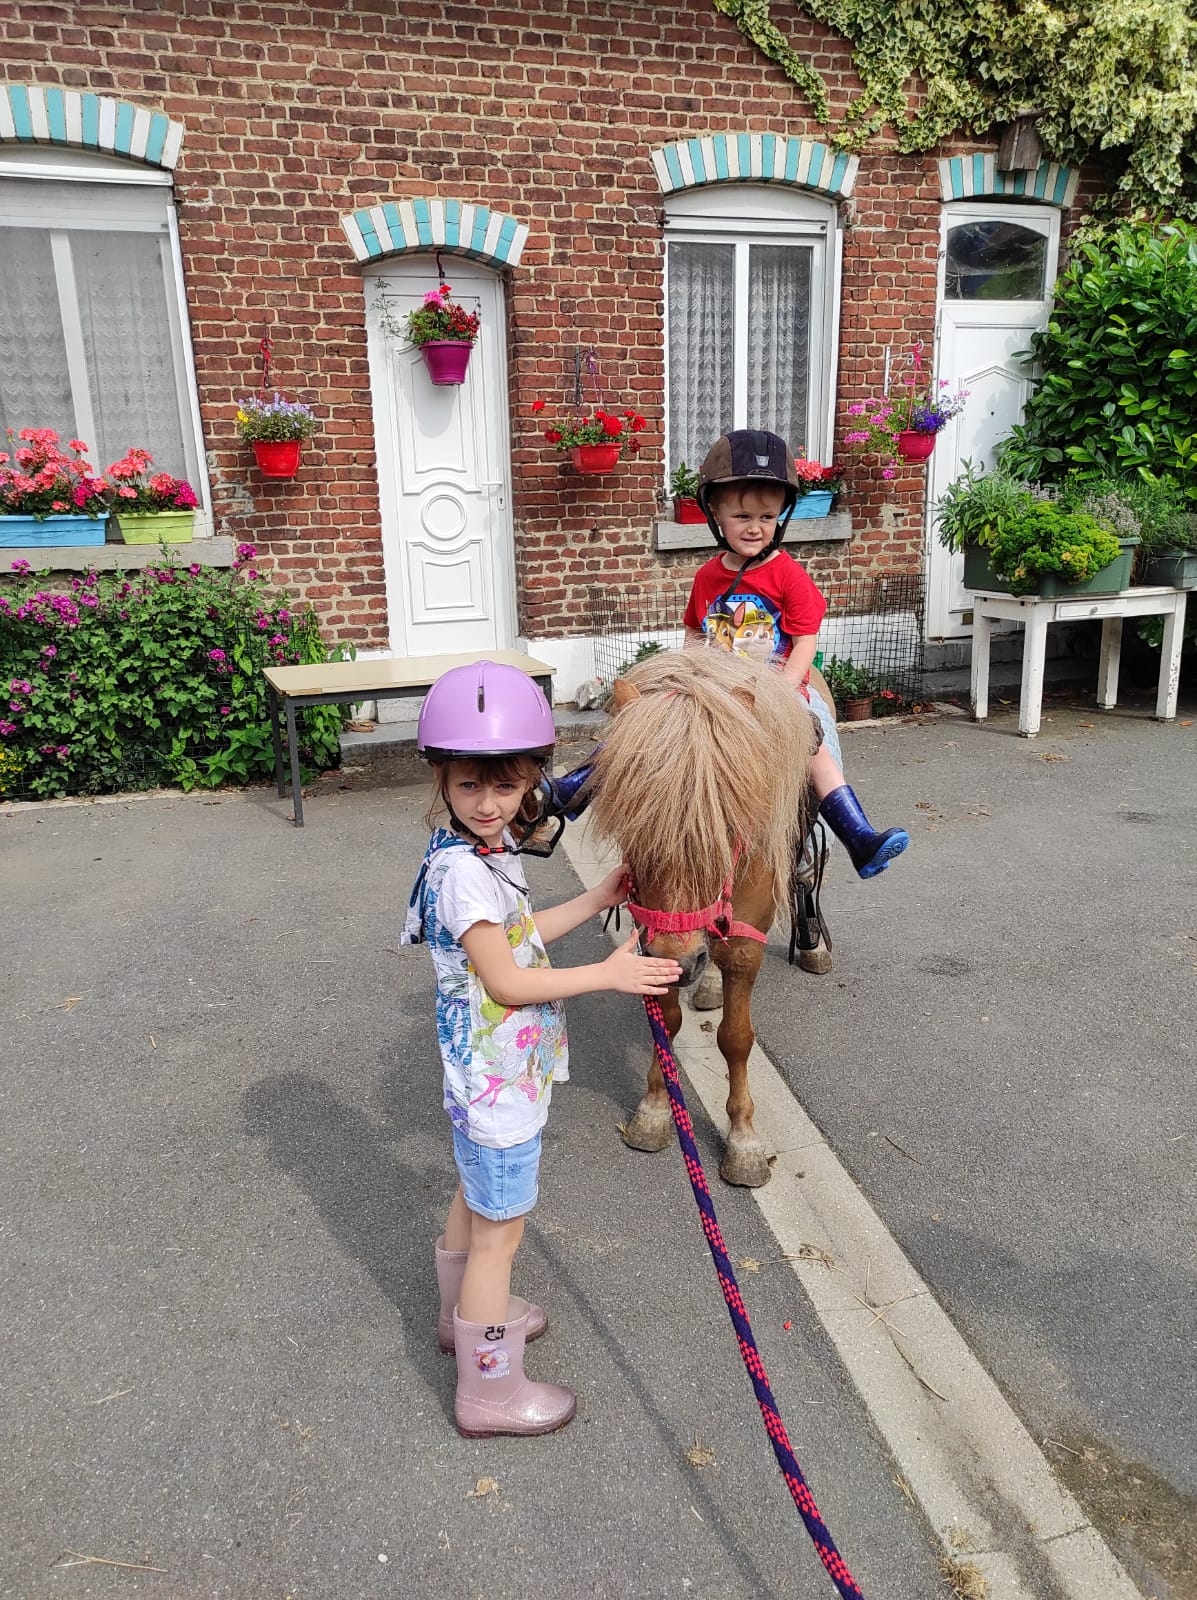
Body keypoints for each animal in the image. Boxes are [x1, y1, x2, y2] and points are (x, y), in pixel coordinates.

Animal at [587, 648, 818, 1188]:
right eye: (634, 827)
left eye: (727, 827)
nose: (681, 961)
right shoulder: (652, 941)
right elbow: (666, 1022)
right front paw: (654, 1110)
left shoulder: (748, 940)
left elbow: (736, 1038)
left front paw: (744, 1139)